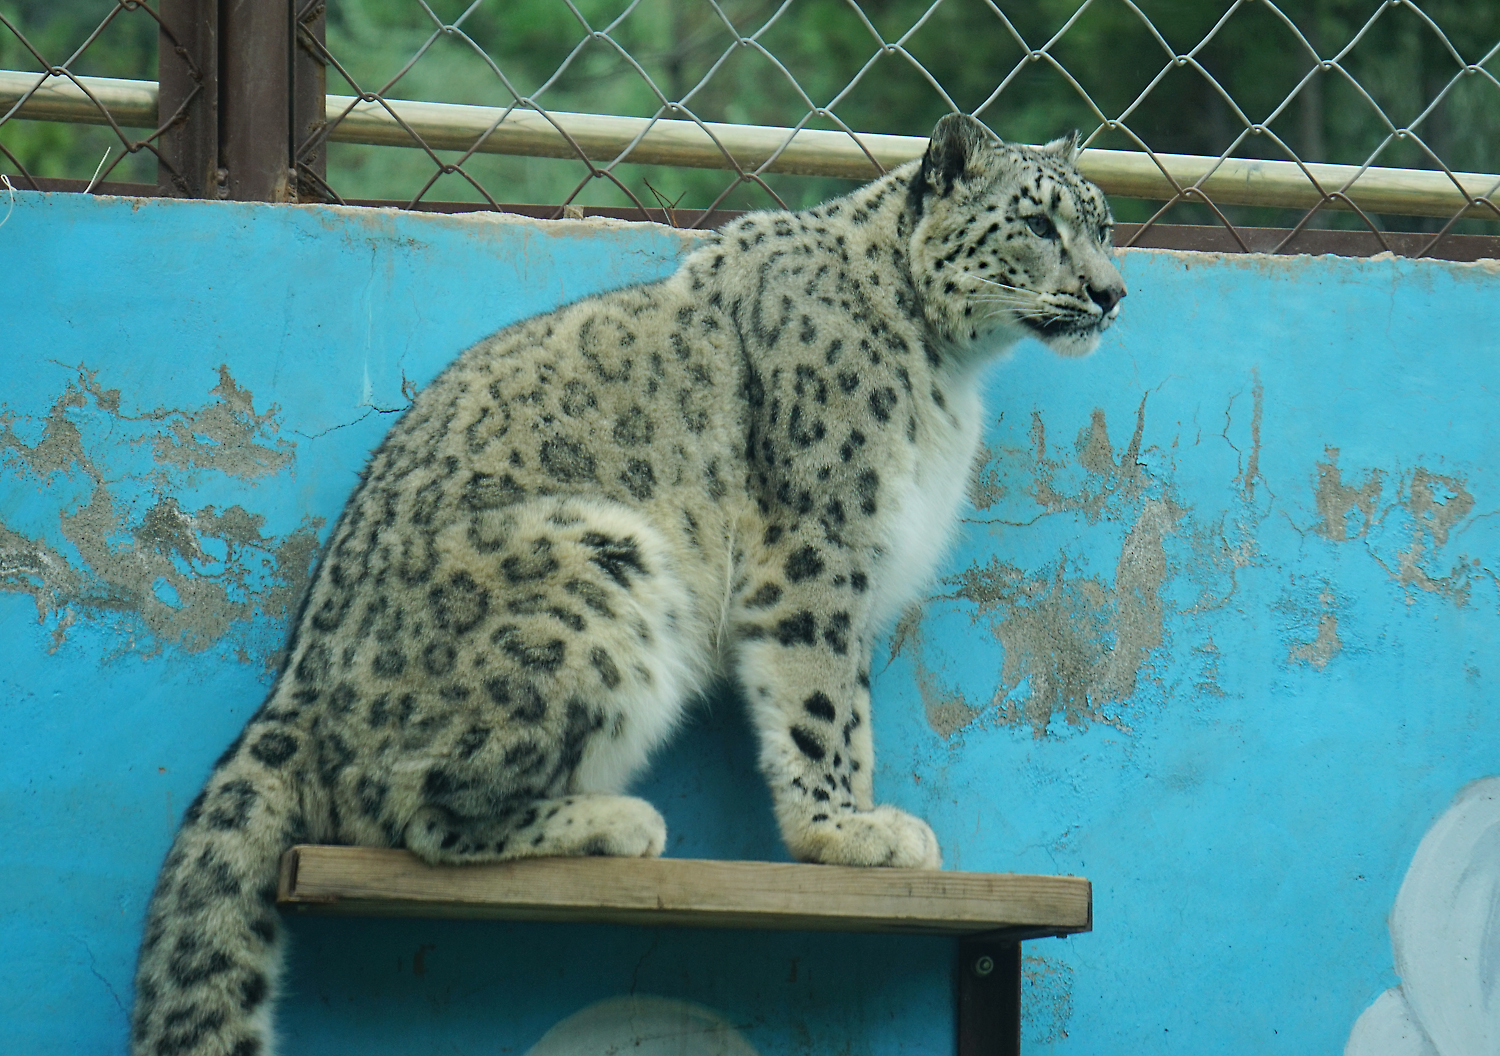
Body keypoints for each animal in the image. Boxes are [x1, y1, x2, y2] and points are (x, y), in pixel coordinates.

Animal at [129, 112, 1125, 1056]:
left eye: (1105, 225)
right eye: (1039, 222)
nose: (1112, 292)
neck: (949, 372)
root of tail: (291, 696)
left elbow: (851, 709)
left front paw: (858, 823)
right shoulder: (818, 550)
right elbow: (822, 706)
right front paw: (847, 834)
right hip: (596, 570)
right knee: (412, 811)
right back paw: (614, 821)